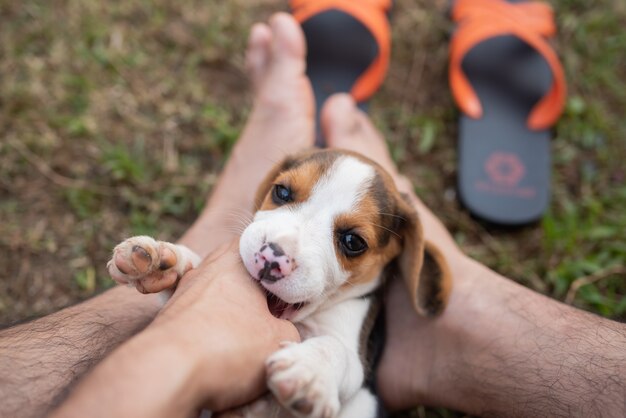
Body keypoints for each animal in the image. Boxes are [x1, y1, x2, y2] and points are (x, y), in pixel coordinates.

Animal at [106, 149, 448, 418]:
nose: (271, 258)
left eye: (353, 242)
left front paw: (309, 373)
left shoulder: (356, 359)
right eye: (282, 192)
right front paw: (161, 259)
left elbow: (335, 347)